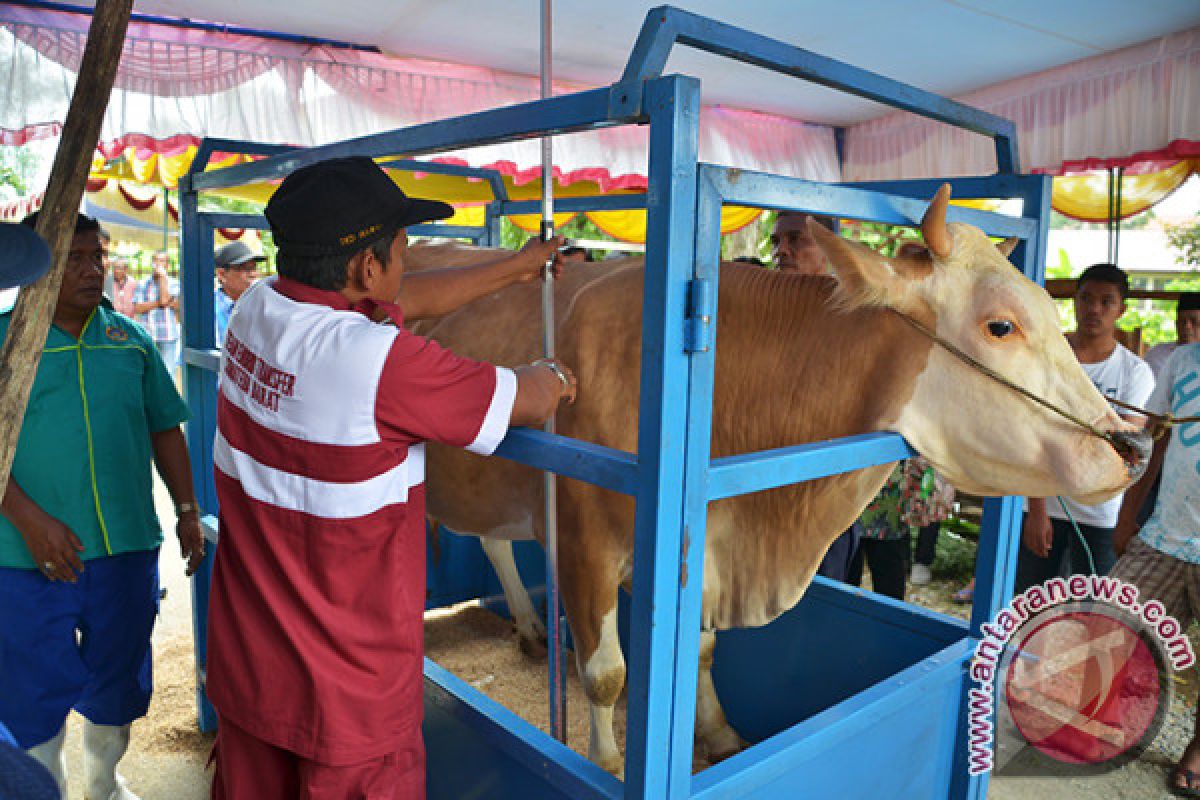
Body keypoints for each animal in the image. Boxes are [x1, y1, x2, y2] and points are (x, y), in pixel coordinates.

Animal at [408, 189, 1147, 777]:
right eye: (1000, 325)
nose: (1130, 445)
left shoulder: (703, 546)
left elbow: (704, 649)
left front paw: (717, 732)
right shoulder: (584, 544)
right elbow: (607, 674)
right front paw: (609, 763)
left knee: (493, 540)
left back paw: (530, 627)